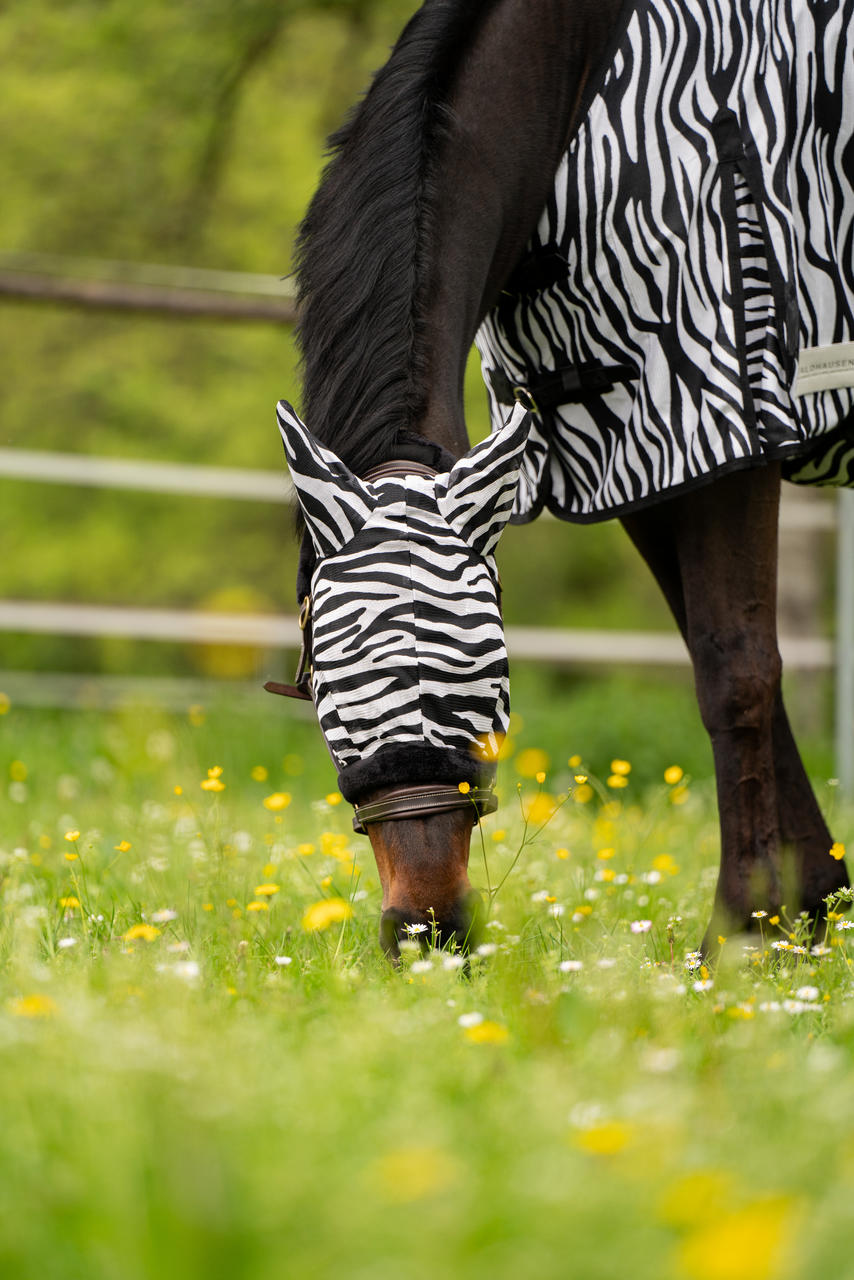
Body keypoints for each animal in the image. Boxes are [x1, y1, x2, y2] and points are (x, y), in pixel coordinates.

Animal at [272, 0, 854, 962]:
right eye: (334, 689)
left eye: (475, 674)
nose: (426, 930)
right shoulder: (640, 456)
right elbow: (713, 649)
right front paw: (804, 906)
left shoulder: (722, 418)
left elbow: (738, 669)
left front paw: (742, 935)